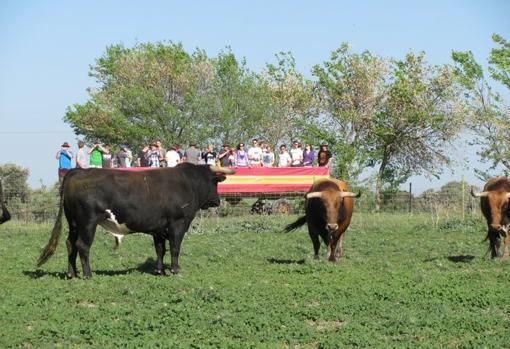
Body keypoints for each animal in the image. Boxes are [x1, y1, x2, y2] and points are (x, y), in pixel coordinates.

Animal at [37, 163, 235, 278]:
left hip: (74, 223)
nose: (217, 201)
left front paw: (159, 270)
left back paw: (72, 273)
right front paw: (175, 270)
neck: (188, 182)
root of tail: (79, 171)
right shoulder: (178, 224)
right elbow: (175, 248)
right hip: (87, 222)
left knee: (70, 244)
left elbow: (160, 249)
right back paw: (88, 275)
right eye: (215, 182)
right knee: (82, 246)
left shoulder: (158, 228)